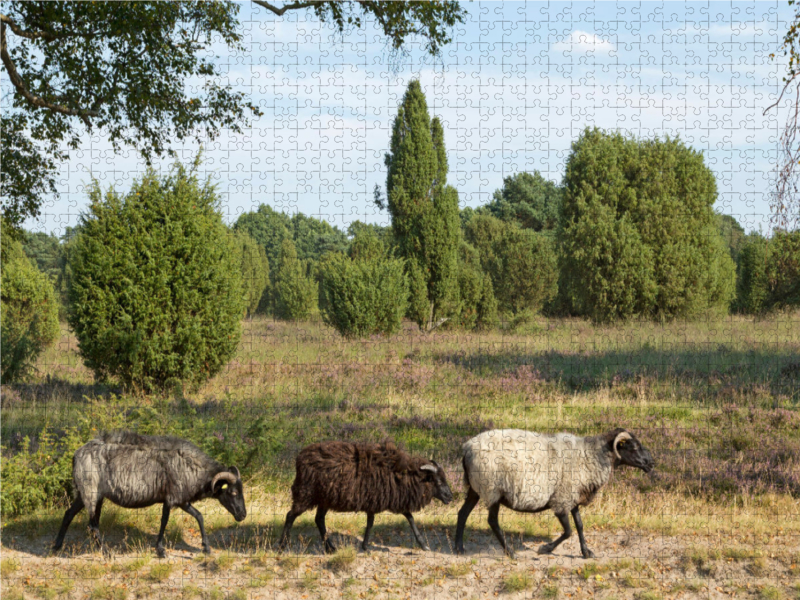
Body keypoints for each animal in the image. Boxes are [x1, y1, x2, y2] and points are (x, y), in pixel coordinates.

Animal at [51, 432, 245, 556]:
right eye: (233, 492)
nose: (243, 515)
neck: (195, 468)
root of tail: (76, 455)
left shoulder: (180, 499)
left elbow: (199, 516)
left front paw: (206, 548)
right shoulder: (174, 497)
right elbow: (165, 521)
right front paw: (160, 550)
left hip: (88, 494)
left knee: (70, 514)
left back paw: (57, 546)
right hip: (90, 491)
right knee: (92, 524)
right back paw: (106, 553)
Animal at [278, 440, 454, 552]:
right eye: (438, 481)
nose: (450, 497)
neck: (404, 474)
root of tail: (300, 458)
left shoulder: (380, 500)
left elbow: (406, 518)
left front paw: (423, 545)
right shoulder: (379, 499)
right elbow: (375, 523)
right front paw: (365, 547)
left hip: (324, 498)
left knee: (319, 520)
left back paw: (330, 548)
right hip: (306, 493)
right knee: (290, 515)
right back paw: (282, 546)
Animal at [454, 426, 652, 556]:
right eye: (634, 447)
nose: (651, 463)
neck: (592, 455)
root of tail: (466, 448)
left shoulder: (572, 496)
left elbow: (579, 525)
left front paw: (586, 552)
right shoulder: (561, 500)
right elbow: (568, 531)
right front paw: (545, 549)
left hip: (475, 488)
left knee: (462, 513)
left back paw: (459, 548)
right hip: (492, 489)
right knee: (492, 521)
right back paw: (510, 552)